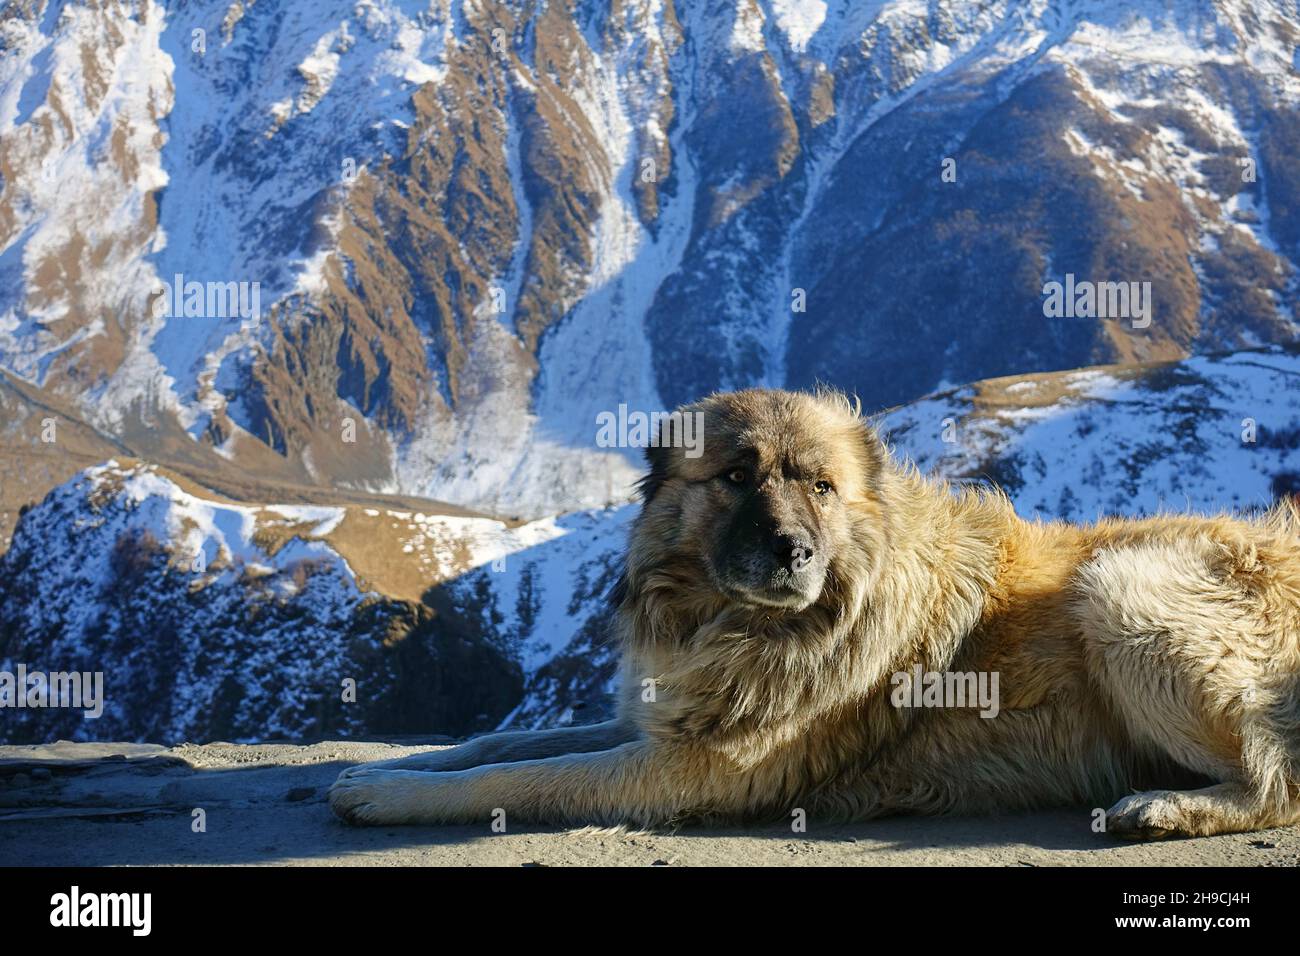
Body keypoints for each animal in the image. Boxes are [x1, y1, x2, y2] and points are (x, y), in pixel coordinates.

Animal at [327, 390, 1300, 837]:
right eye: (735, 476)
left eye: (823, 488)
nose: (794, 550)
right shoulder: (656, 718)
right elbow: (503, 743)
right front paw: (387, 768)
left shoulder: (689, 772)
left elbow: (523, 778)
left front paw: (389, 796)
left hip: (1116, 586)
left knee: (1275, 780)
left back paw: (1165, 807)